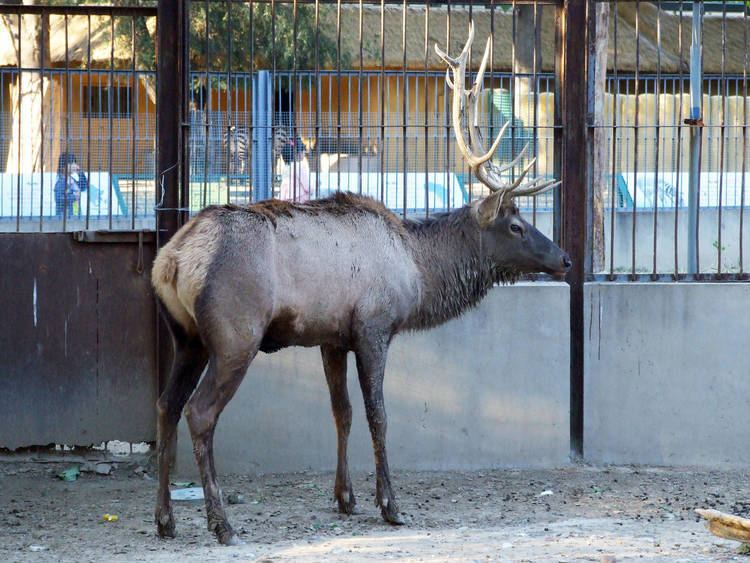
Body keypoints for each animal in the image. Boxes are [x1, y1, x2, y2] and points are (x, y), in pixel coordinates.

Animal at [154, 25, 568, 548]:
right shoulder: (375, 326)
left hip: (185, 336)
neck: (417, 271)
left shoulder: (331, 336)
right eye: (515, 225)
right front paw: (390, 504)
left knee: (166, 405)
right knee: (200, 412)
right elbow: (379, 415)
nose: (564, 258)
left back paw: (165, 519)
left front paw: (345, 497)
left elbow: (342, 411)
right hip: (234, 335)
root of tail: (171, 261)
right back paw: (221, 523)